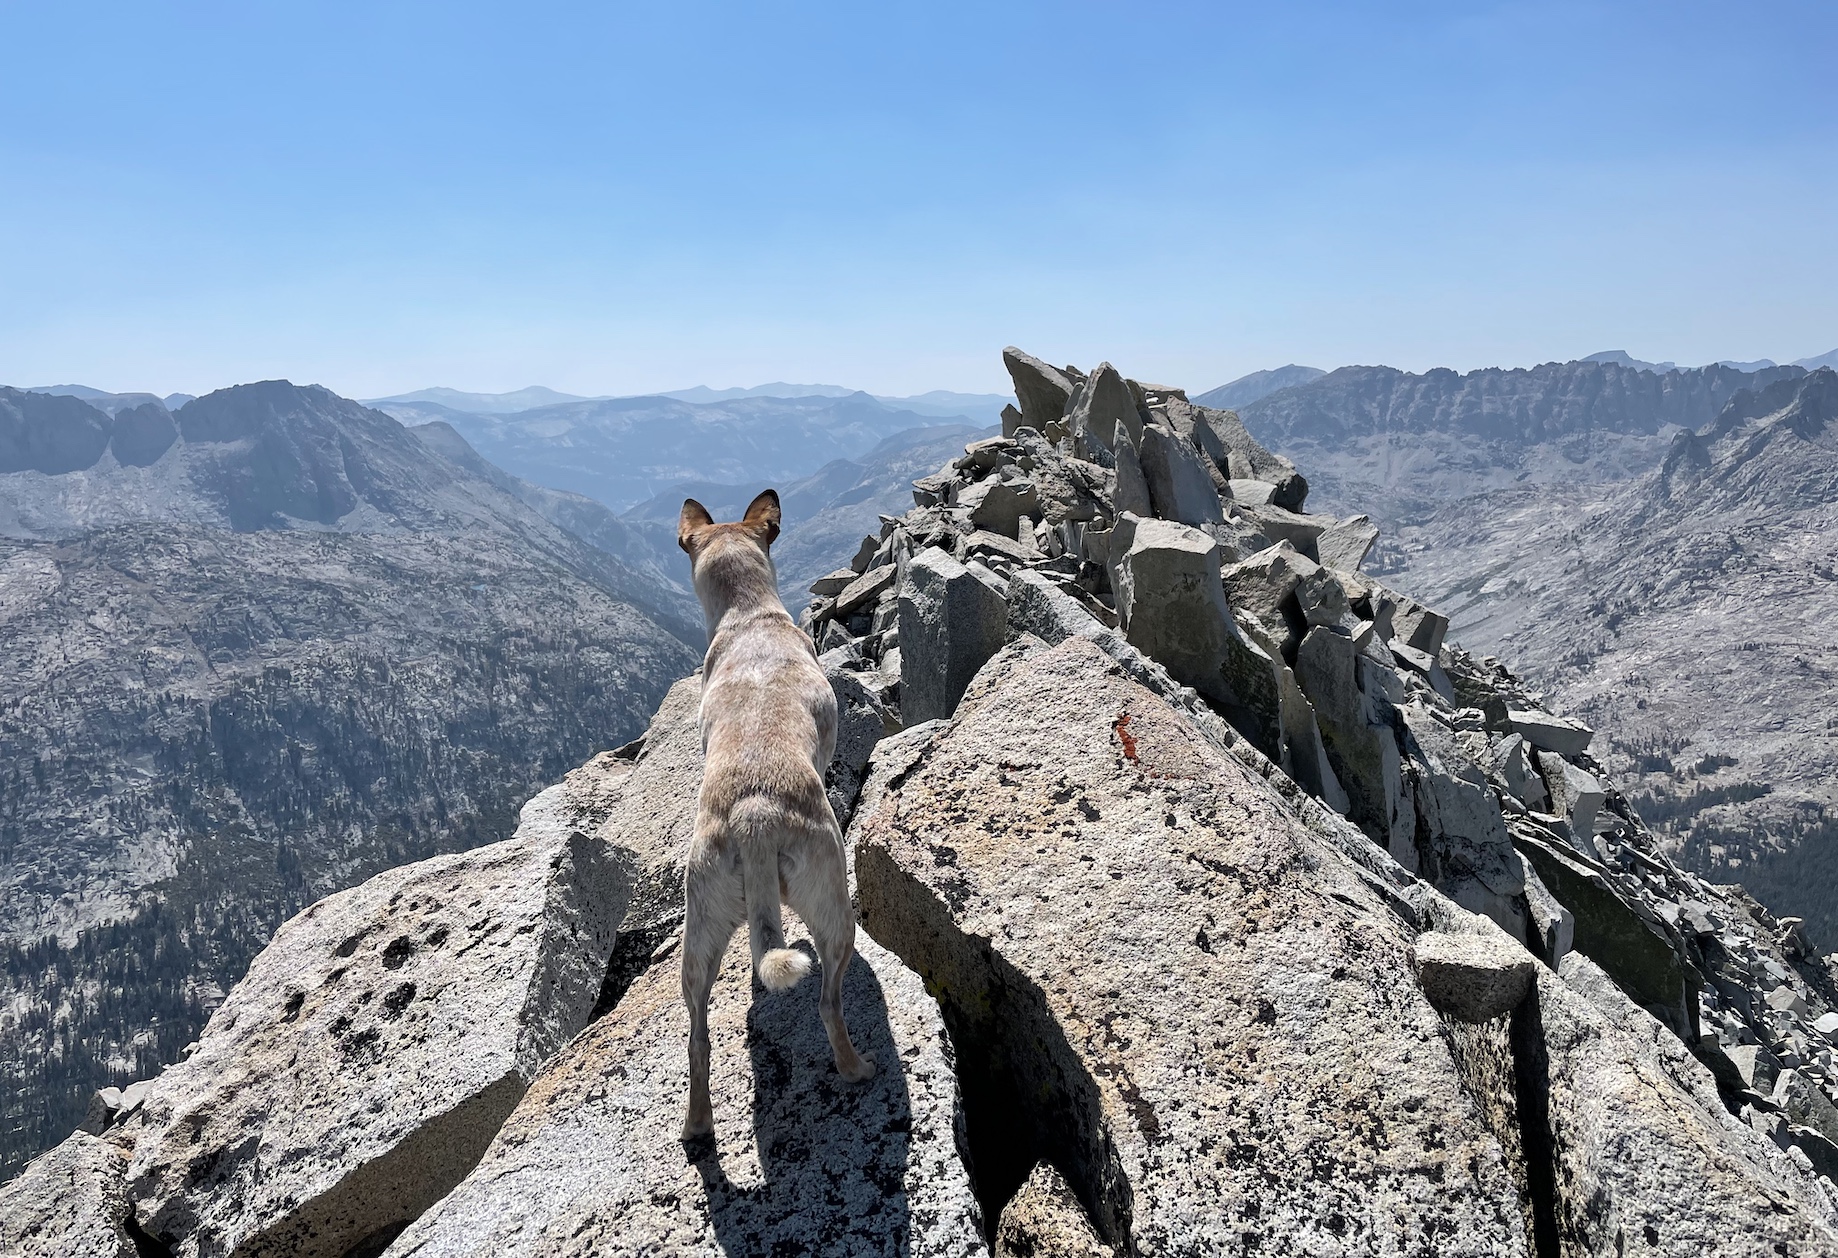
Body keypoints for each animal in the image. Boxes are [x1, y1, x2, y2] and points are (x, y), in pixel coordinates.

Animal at [676, 489, 874, 1140]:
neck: (748, 613)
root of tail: (754, 819)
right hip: (834, 902)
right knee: (828, 1002)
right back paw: (857, 1068)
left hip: (699, 928)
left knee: (698, 1039)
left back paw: (697, 1126)